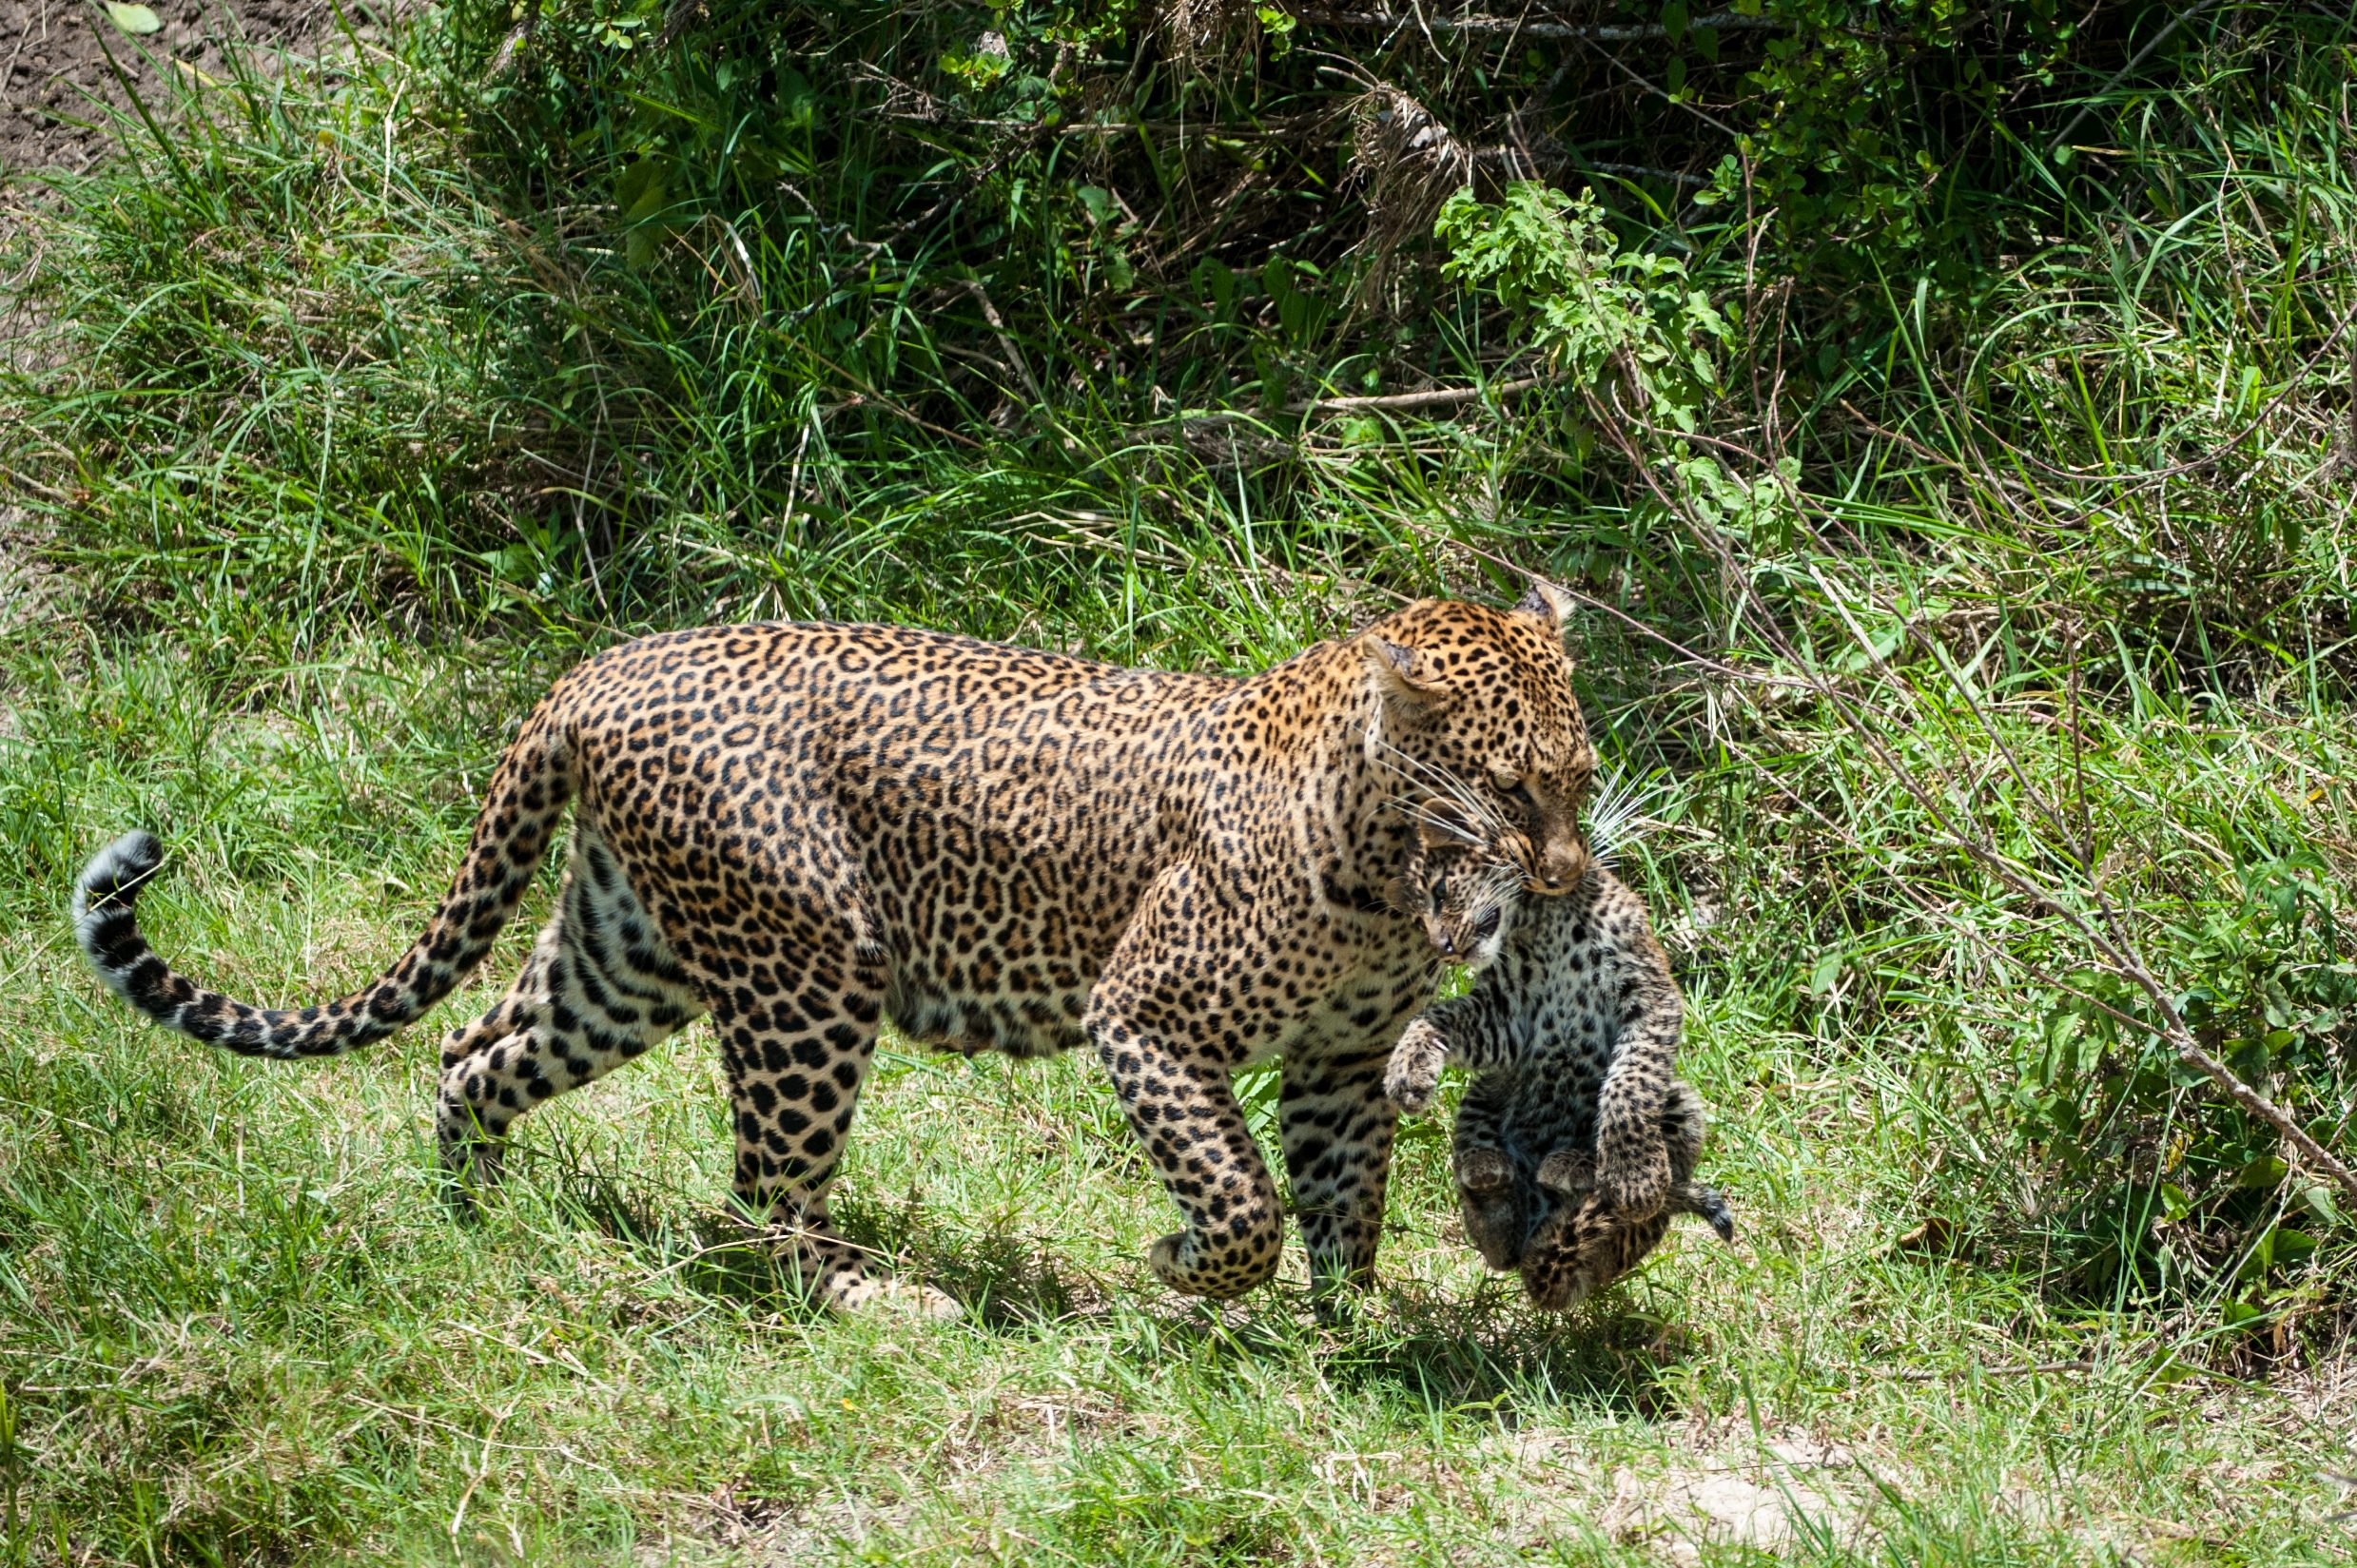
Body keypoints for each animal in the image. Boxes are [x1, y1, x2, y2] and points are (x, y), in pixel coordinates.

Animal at [73, 590, 1597, 1314]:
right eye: (1513, 788)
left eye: (1578, 780)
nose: (1572, 877)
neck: (1383, 866)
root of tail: (593, 671)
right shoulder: (1147, 1019)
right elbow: (1242, 1201)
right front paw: (1184, 1271)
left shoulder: (1343, 1055)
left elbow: (1343, 1200)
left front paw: (1348, 1332)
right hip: (809, 969)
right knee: (760, 1196)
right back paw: (872, 1298)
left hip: (630, 956)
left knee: (471, 1048)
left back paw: (477, 1211)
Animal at [1384, 831, 1734, 1310]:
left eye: (1443, 890)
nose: (1444, 946)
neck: (1546, 918)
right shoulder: (1503, 1014)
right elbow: (1438, 1017)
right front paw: (1408, 1066)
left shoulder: (1649, 993)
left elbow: (1631, 1083)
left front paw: (1633, 1175)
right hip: (1485, 1093)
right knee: (1501, 1251)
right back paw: (1490, 1176)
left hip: (1680, 1106)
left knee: (1644, 1194)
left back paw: (1583, 1170)